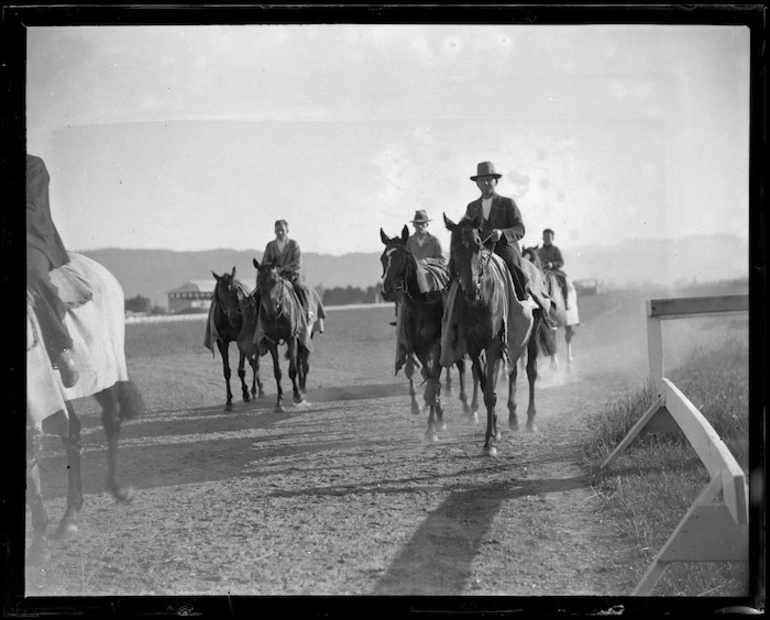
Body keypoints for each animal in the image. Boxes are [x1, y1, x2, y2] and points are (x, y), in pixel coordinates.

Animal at [25, 253, 146, 568]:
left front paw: (39, 546)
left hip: (107, 371)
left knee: (111, 420)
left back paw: (117, 489)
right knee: (73, 431)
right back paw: (70, 516)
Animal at [204, 266, 264, 412]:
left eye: (236, 289)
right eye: (221, 291)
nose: (235, 314)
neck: (228, 320)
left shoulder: (241, 339)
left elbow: (241, 370)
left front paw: (246, 394)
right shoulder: (222, 342)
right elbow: (227, 371)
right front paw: (228, 401)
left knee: (256, 362)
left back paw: (257, 390)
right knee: (252, 362)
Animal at [250, 260, 320, 412]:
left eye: (275, 280)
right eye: (259, 281)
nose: (270, 310)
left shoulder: (291, 337)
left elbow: (292, 369)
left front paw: (297, 396)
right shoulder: (271, 341)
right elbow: (277, 372)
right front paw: (279, 402)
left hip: (306, 336)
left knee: (303, 363)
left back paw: (302, 389)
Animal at [378, 225, 468, 438]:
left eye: (402, 257)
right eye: (383, 258)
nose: (387, 289)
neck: (423, 301)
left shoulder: (438, 345)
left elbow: (434, 376)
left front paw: (432, 424)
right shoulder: (418, 347)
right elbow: (428, 376)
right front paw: (435, 418)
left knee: (460, 366)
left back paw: (468, 406)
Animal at [438, 214, 552, 456]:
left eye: (478, 243)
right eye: (453, 247)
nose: (471, 289)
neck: (480, 301)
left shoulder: (492, 344)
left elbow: (491, 391)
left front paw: (490, 441)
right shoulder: (474, 346)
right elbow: (484, 386)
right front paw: (496, 430)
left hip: (532, 334)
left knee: (530, 371)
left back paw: (530, 420)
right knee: (512, 371)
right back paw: (513, 416)